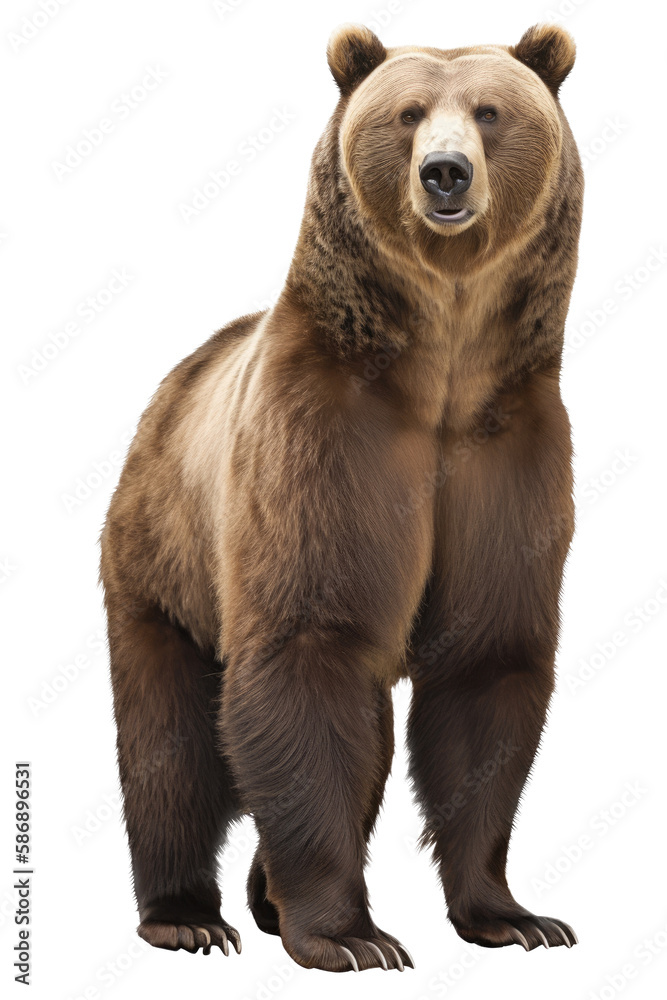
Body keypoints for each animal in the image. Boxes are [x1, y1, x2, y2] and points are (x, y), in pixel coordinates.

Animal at [100, 22, 583, 972]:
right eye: (406, 114)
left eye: (489, 111)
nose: (444, 173)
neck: (442, 367)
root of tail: (174, 379)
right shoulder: (323, 442)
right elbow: (307, 649)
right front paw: (348, 934)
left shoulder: (508, 457)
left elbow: (487, 668)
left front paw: (514, 917)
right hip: (161, 560)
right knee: (171, 741)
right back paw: (187, 915)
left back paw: (259, 898)